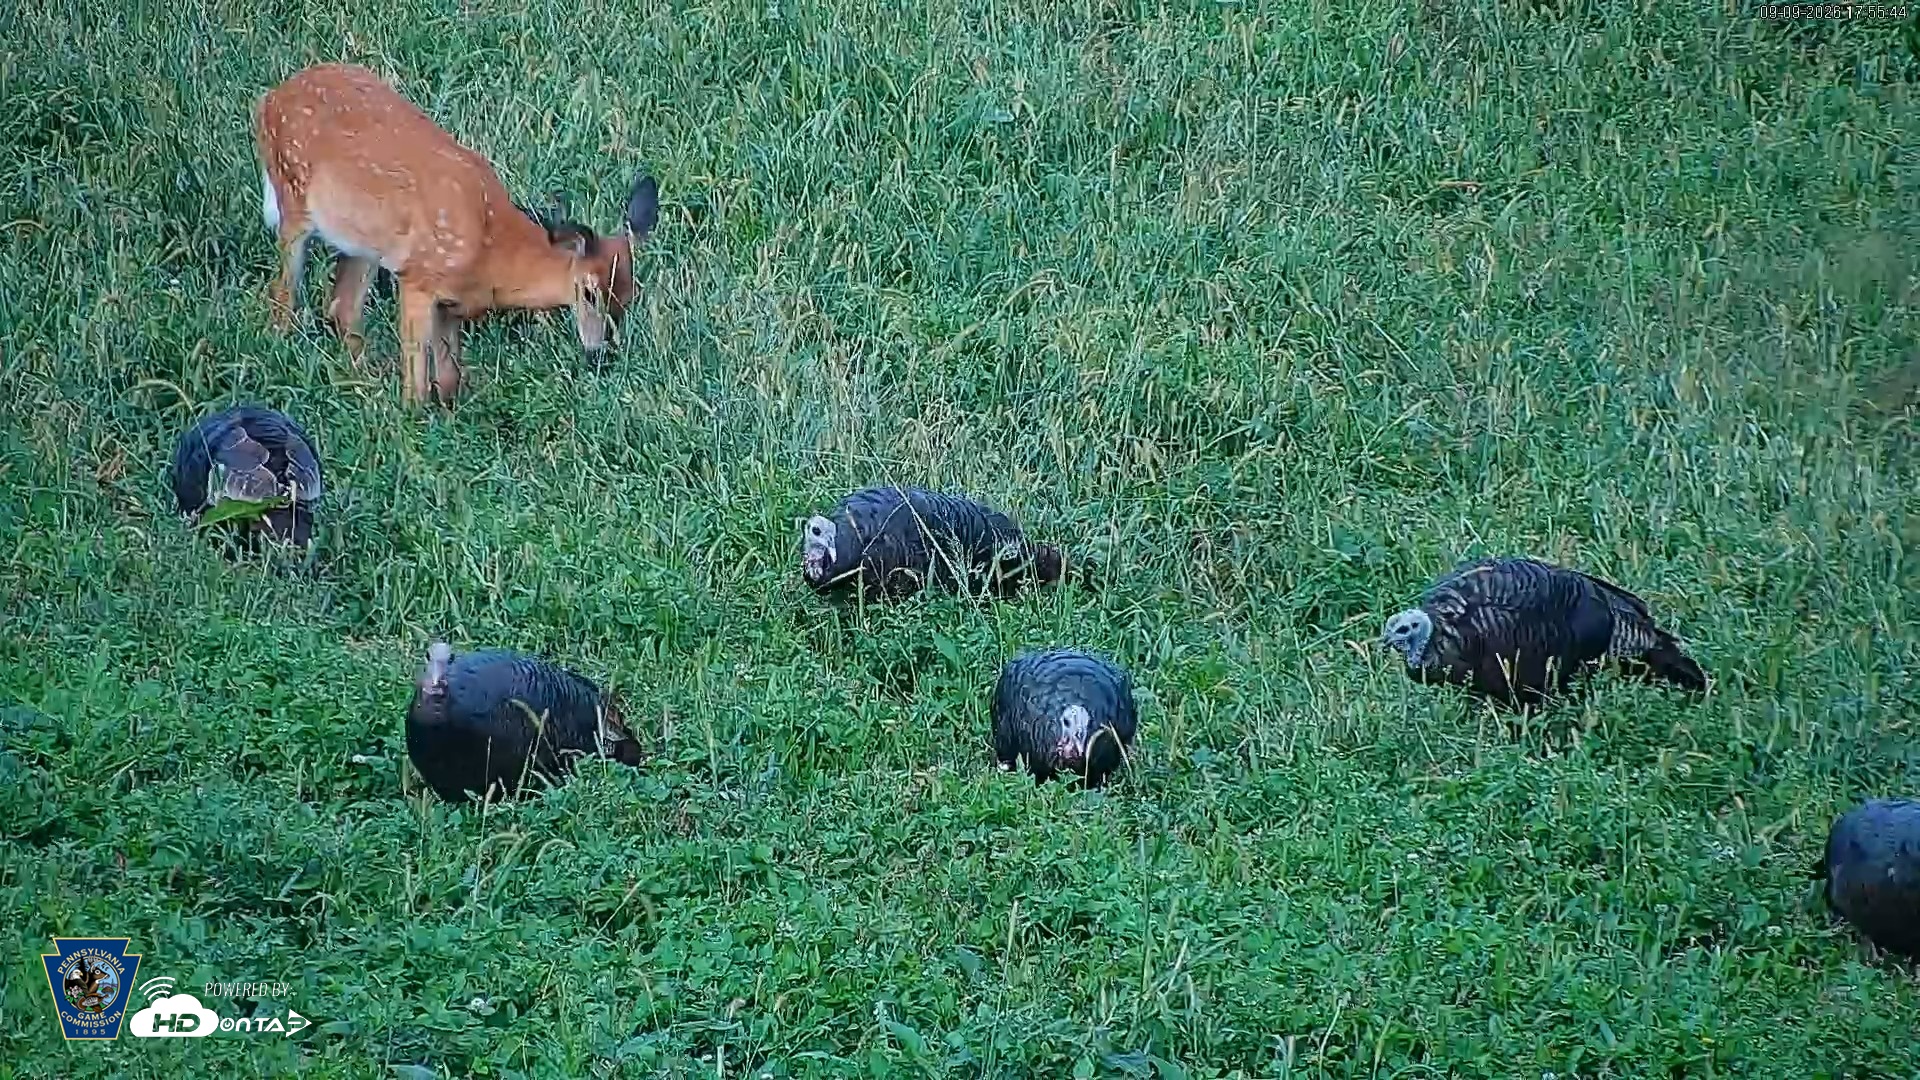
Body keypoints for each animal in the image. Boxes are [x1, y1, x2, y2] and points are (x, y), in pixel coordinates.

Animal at [253, 62, 659, 406]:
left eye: (631, 295)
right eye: (589, 292)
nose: (602, 355)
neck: (493, 254)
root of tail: (269, 100)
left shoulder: (452, 304)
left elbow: (449, 376)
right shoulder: (417, 277)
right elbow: (418, 381)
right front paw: (412, 421)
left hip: (361, 242)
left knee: (342, 306)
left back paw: (365, 379)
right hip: (294, 199)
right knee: (282, 294)